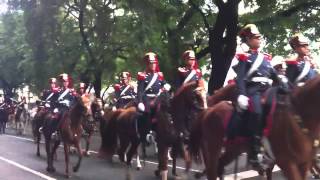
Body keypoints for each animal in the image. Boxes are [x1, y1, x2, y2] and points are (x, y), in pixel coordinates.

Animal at [190, 75, 320, 180]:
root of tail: (209, 110)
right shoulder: (286, 162)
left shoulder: (303, 163)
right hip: (213, 149)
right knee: (212, 171)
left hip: (233, 150)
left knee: (220, 166)